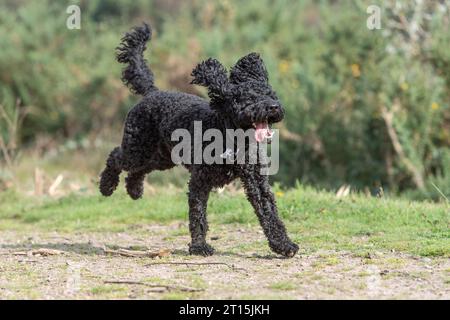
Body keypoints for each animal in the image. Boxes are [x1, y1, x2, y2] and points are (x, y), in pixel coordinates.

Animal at [98, 23, 298, 258]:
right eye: (249, 98)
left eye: (270, 94)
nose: (274, 107)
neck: (231, 137)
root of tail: (152, 93)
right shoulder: (199, 181)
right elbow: (198, 215)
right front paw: (200, 246)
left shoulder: (257, 181)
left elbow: (269, 213)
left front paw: (284, 244)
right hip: (137, 148)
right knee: (115, 156)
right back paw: (106, 186)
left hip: (161, 157)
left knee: (138, 170)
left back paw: (134, 190)